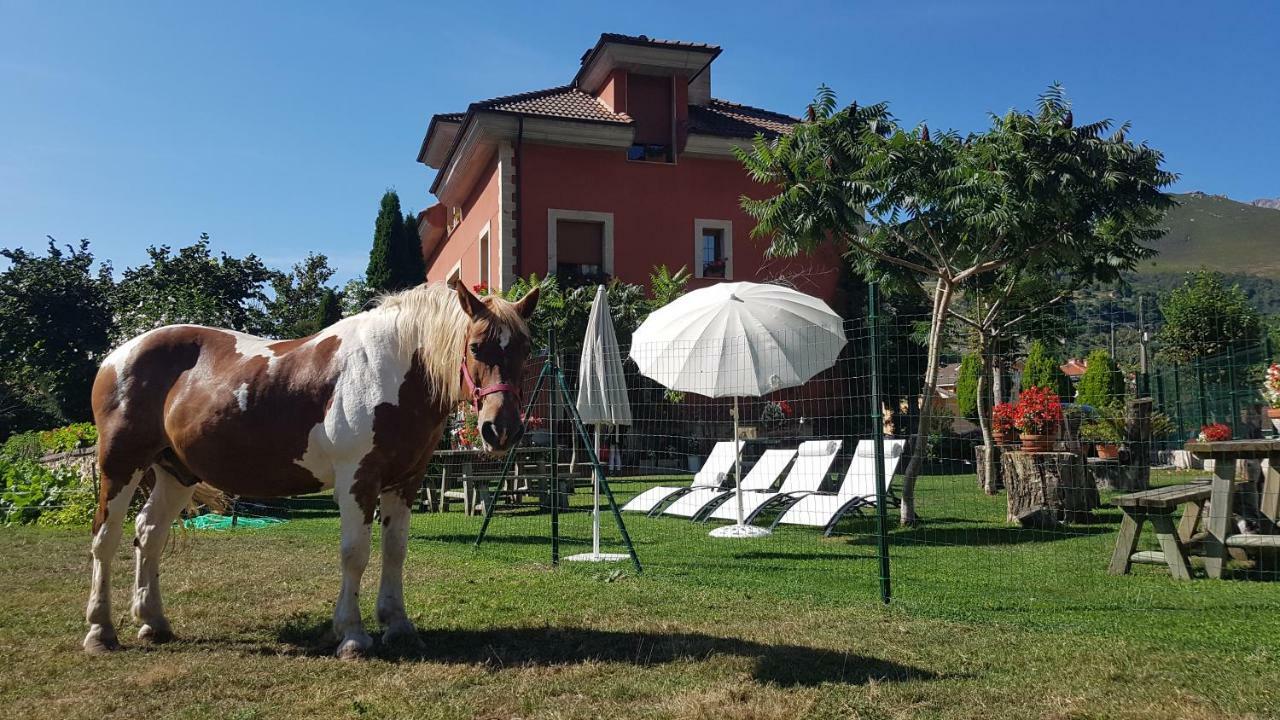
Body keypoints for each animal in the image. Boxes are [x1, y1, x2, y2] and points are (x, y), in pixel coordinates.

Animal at [83, 279, 535, 655]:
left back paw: (153, 622)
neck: (393, 370)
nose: (501, 428)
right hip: (120, 465)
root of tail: (115, 358)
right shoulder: (358, 480)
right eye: (475, 347)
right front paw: (352, 636)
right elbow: (355, 553)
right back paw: (100, 632)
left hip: (176, 473)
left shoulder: (405, 483)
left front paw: (398, 626)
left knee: (149, 533)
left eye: (526, 351)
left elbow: (395, 551)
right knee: (106, 538)